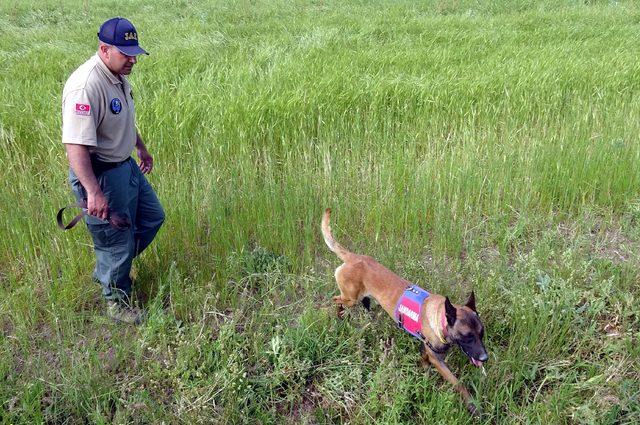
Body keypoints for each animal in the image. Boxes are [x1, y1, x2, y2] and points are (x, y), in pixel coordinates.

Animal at [322, 208, 488, 414]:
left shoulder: (429, 353)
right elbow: (458, 383)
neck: (440, 318)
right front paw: (472, 404)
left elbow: (424, 361)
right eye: (467, 336)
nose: (485, 358)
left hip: (358, 298)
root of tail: (353, 257)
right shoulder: (438, 360)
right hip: (350, 298)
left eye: (481, 334)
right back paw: (338, 316)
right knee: (336, 300)